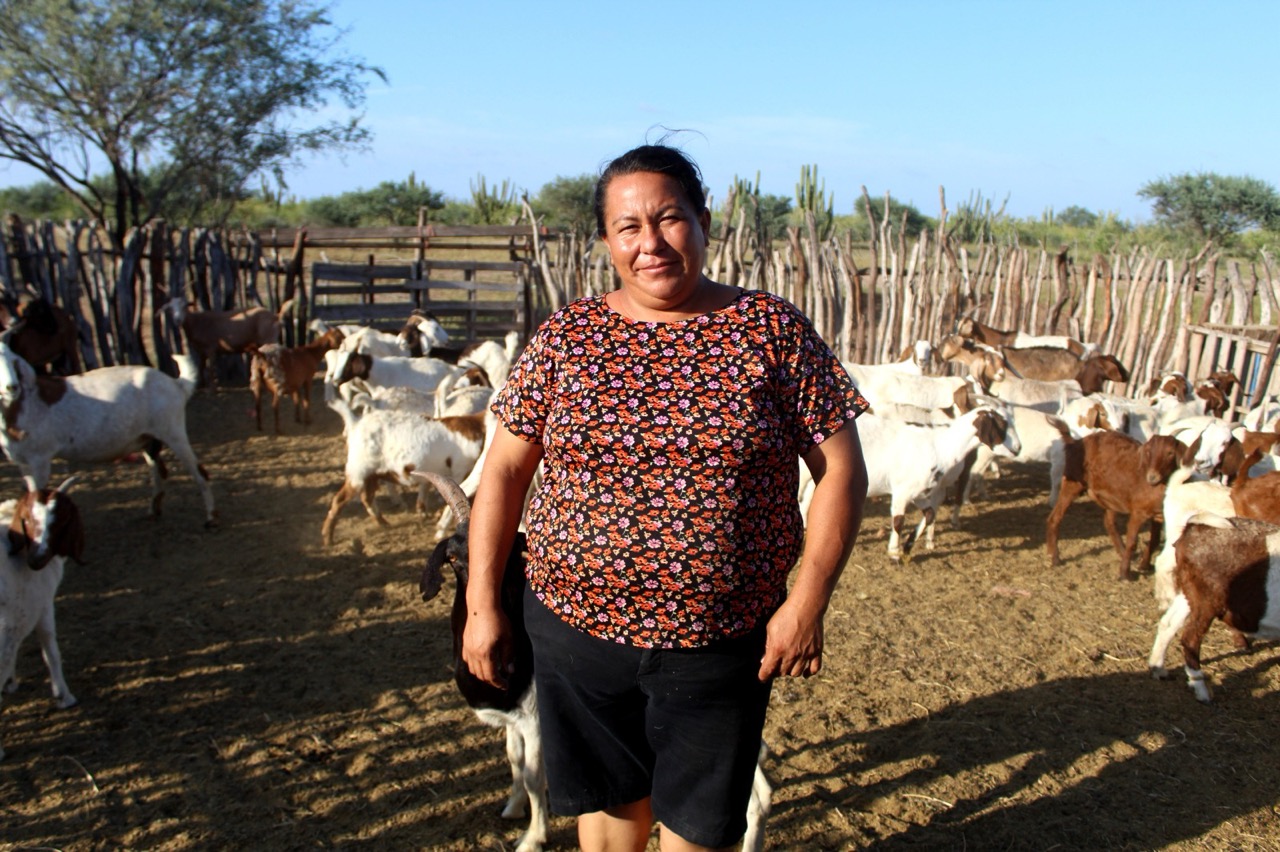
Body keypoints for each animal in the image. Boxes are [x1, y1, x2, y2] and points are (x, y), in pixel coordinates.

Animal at [0, 337, 217, 524]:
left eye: (13, 362)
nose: (12, 387)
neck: (23, 404)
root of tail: (177, 384)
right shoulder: (23, 462)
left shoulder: (40, 458)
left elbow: (38, 496)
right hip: (148, 440)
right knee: (159, 471)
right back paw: (153, 511)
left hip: (173, 431)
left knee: (199, 471)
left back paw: (210, 518)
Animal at [0, 473, 83, 757]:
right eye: (28, 518)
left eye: (60, 520)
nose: (37, 559)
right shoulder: (44, 605)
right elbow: (51, 651)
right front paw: (64, 696)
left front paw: (11, 682)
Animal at [414, 470, 768, 849]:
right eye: (454, 559)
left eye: (514, 556)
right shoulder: (512, 719)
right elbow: (514, 760)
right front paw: (513, 806)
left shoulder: (536, 718)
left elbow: (534, 777)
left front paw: (533, 837)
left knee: (752, 798)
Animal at [1044, 427, 1182, 580]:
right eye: (1148, 452)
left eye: (1170, 453)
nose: (1152, 477)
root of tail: (1075, 442)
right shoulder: (1139, 512)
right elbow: (1132, 541)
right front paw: (1125, 574)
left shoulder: (1157, 515)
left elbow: (1155, 540)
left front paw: (1144, 564)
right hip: (1072, 483)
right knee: (1054, 518)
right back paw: (1055, 558)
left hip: (1110, 495)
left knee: (1108, 522)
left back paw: (1121, 551)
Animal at [1146, 514, 1280, 701]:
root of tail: (1195, 527)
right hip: (1206, 602)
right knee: (1190, 639)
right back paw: (1201, 690)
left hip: (1191, 594)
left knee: (1169, 623)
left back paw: (1158, 668)